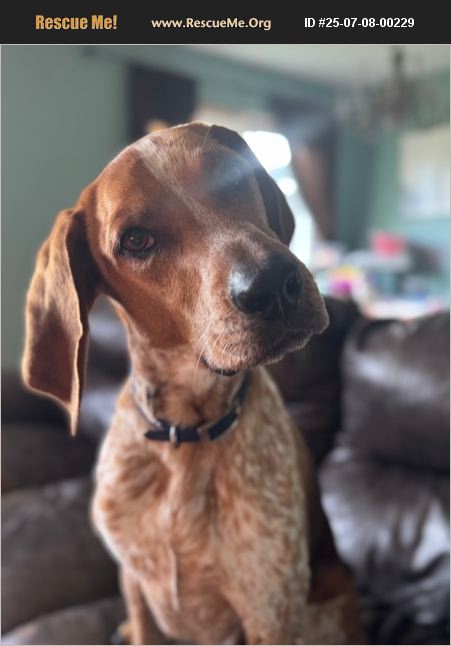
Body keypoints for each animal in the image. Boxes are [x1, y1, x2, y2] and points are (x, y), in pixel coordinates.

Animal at [22, 123, 364, 645]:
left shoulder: (270, 609)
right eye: (136, 240)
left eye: (233, 178)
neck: (184, 433)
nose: (272, 284)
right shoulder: (135, 583)